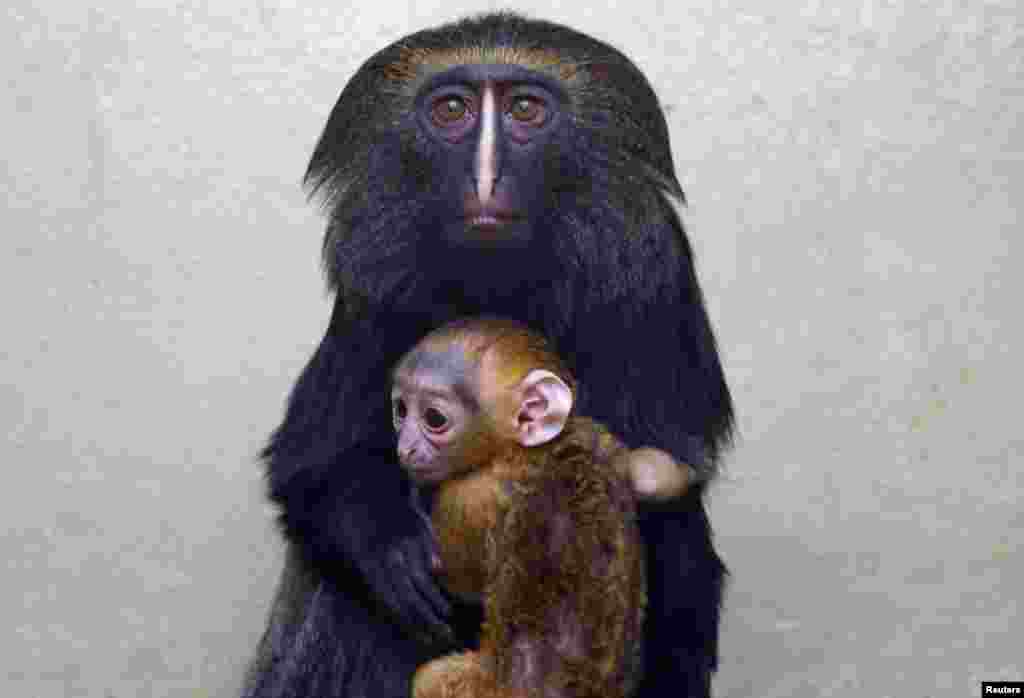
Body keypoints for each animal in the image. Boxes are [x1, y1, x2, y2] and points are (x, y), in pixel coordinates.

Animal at [392, 318, 645, 698]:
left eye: (433, 417)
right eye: (400, 411)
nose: (404, 446)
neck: (541, 449)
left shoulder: (468, 496)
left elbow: (459, 584)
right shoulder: (603, 443)